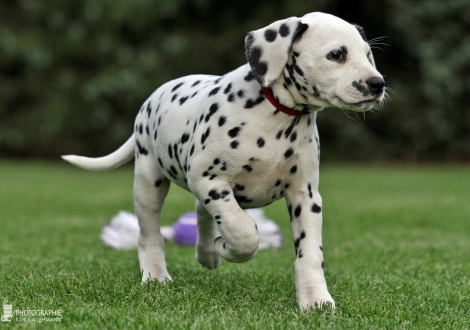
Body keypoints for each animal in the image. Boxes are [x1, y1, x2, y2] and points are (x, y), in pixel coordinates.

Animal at [62, 10, 386, 310]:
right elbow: (243, 231)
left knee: (200, 213)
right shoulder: (208, 180)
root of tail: (152, 99)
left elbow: (309, 253)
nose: (378, 83)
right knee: (150, 232)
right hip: (148, 181)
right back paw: (156, 275)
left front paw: (315, 299)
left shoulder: (305, 197)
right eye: (337, 54)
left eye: (368, 54)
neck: (275, 116)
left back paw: (206, 253)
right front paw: (229, 248)